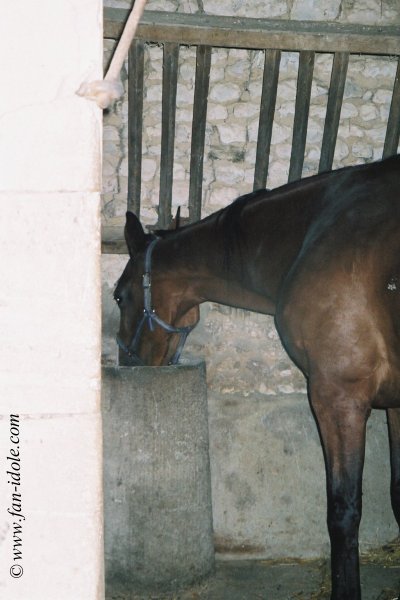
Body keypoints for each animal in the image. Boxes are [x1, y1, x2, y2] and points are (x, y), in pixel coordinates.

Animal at [114, 156, 400, 600]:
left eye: (119, 296)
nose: (126, 362)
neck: (313, 233)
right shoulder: (396, 405)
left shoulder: (338, 396)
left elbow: (343, 511)